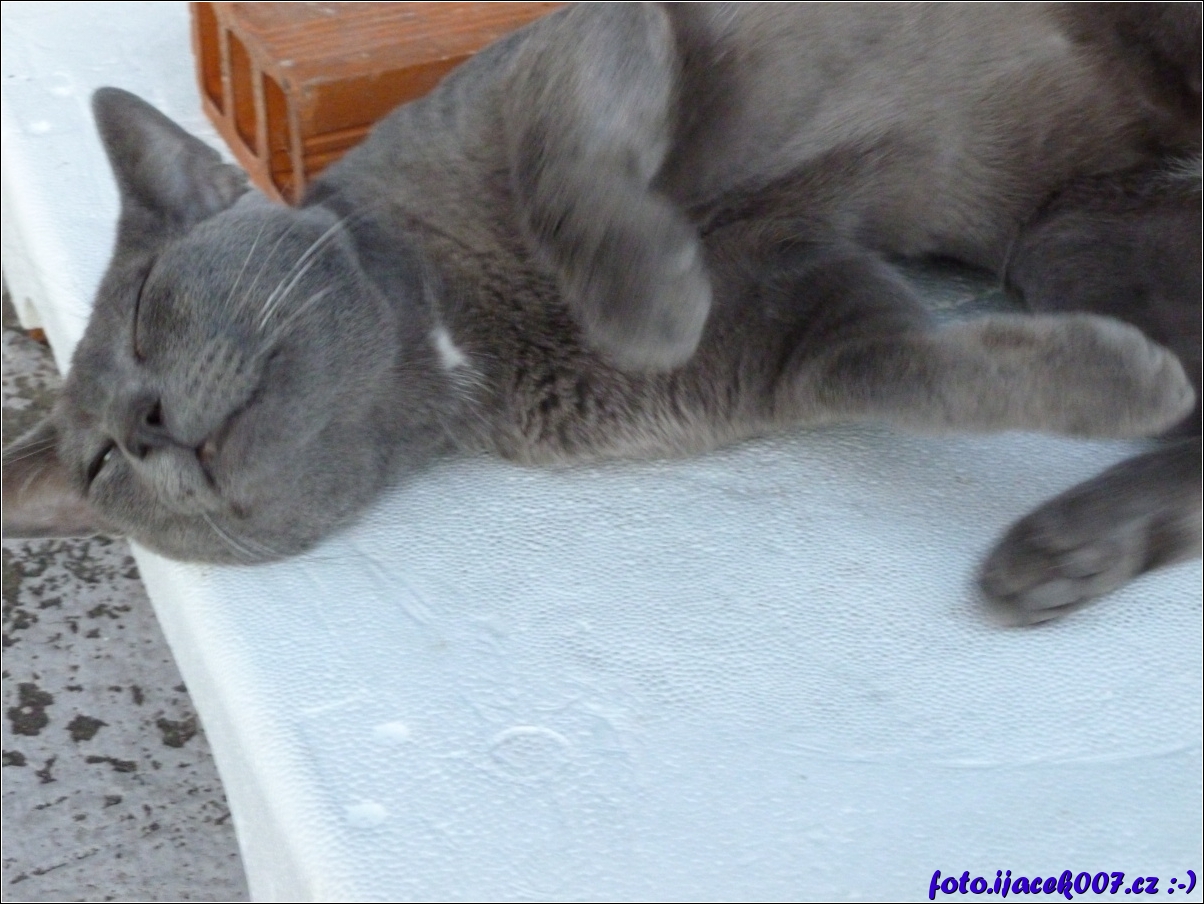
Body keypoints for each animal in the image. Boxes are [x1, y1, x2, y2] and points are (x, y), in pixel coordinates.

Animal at [2, 3, 1199, 625]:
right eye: (100, 463)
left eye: (149, 308)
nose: (143, 424)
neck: (461, 337)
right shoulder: (811, 331)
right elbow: (921, 373)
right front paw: (1114, 380)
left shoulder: (587, 42)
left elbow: (558, 163)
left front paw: (648, 299)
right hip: (1069, 238)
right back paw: (1068, 546)